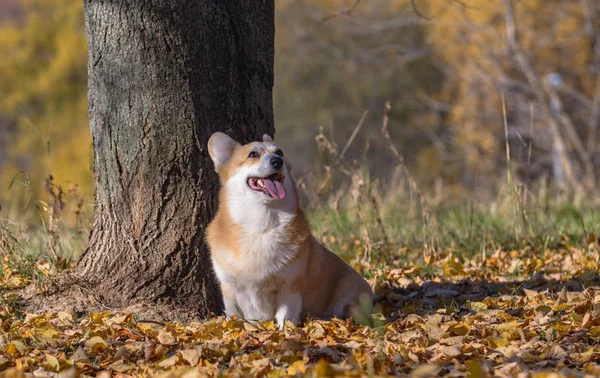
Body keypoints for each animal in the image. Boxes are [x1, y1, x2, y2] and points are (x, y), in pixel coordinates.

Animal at [209, 132, 372, 328]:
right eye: (252, 154)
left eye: (279, 152)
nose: (277, 161)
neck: (261, 225)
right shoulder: (229, 289)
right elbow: (234, 316)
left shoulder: (289, 288)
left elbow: (285, 318)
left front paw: (283, 332)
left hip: (352, 295)